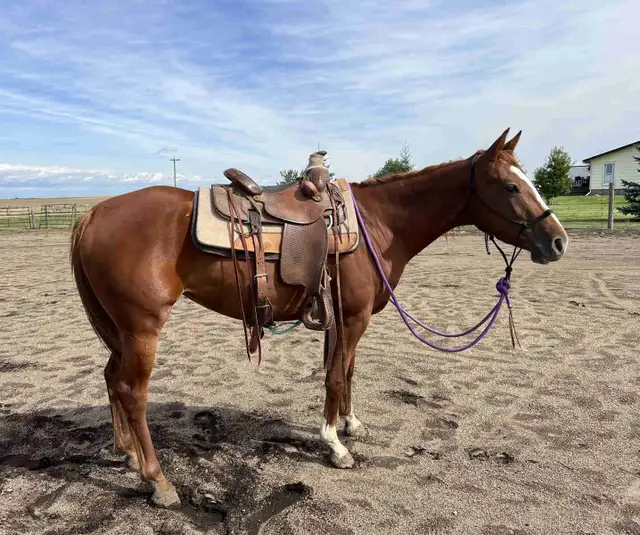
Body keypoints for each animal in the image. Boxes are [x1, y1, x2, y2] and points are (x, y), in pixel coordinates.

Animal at [69, 128, 568, 507]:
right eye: (510, 186)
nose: (559, 241)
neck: (378, 224)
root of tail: (93, 212)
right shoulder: (352, 318)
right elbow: (333, 376)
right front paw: (334, 445)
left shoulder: (340, 318)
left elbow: (345, 371)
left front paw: (350, 424)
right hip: (142, 328)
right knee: (132, 392)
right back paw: (157, 480)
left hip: (121, 331)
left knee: (112, 378)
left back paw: (127, 454)